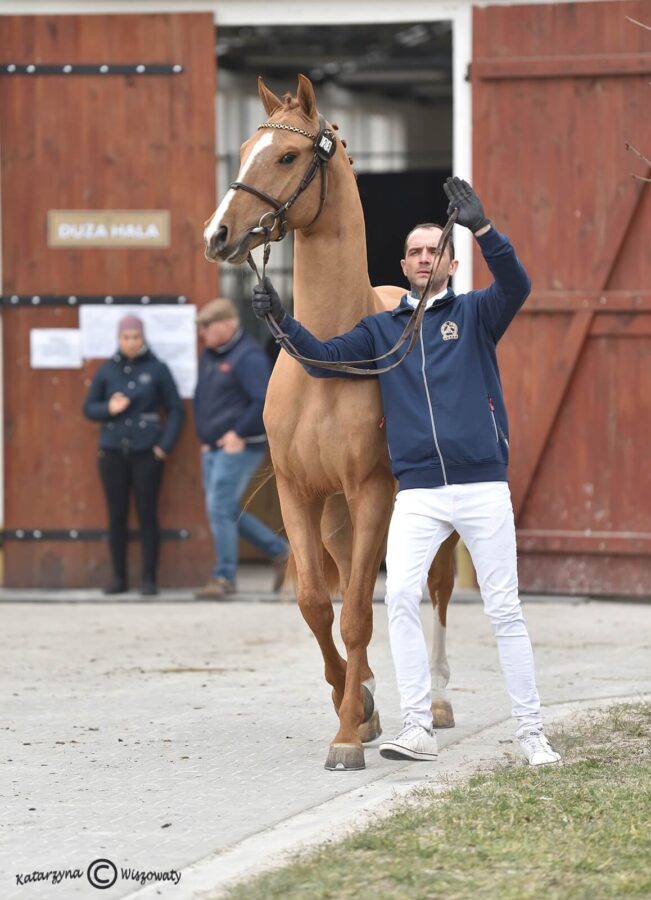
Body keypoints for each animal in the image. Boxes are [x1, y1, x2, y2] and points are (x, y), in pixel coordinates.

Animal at [205, 74, 458, 768]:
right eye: (245, 149)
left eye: (288, 156)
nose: (218, 233)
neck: (330, 357)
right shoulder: (303, 494)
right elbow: (319, 605)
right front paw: (359, 705)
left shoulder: (371, 493)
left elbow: (359, 615)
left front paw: (346, 735)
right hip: (337, 517)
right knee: (351, 583)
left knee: (437, 588)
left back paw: (439, 702)